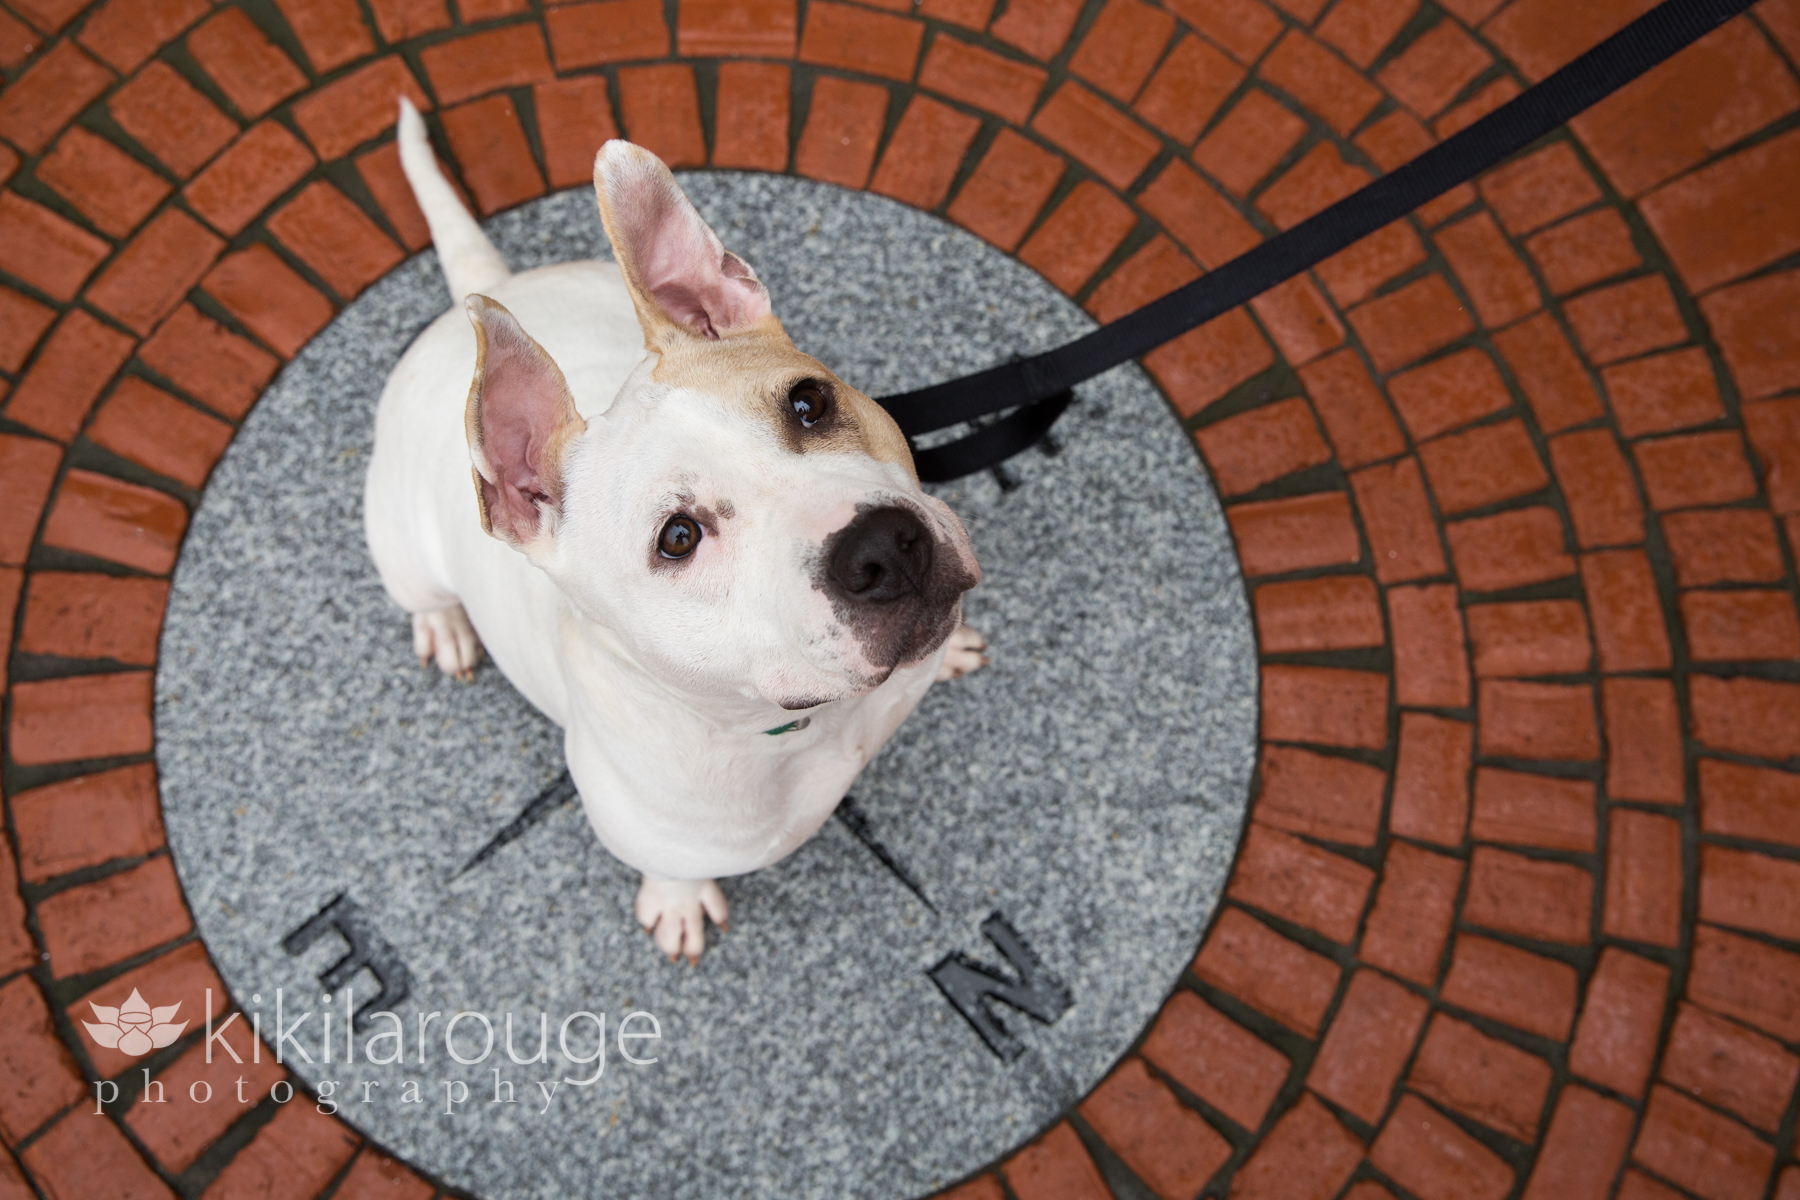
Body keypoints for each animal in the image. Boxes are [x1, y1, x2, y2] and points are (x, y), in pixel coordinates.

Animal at [361, 103, 986, 964]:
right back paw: (444, 624)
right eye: (679, 538)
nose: (885, 547)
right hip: (399, 544)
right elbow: (669, 869)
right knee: (422, 592)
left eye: (810, 403)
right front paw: (678, 901)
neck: (790, 724)